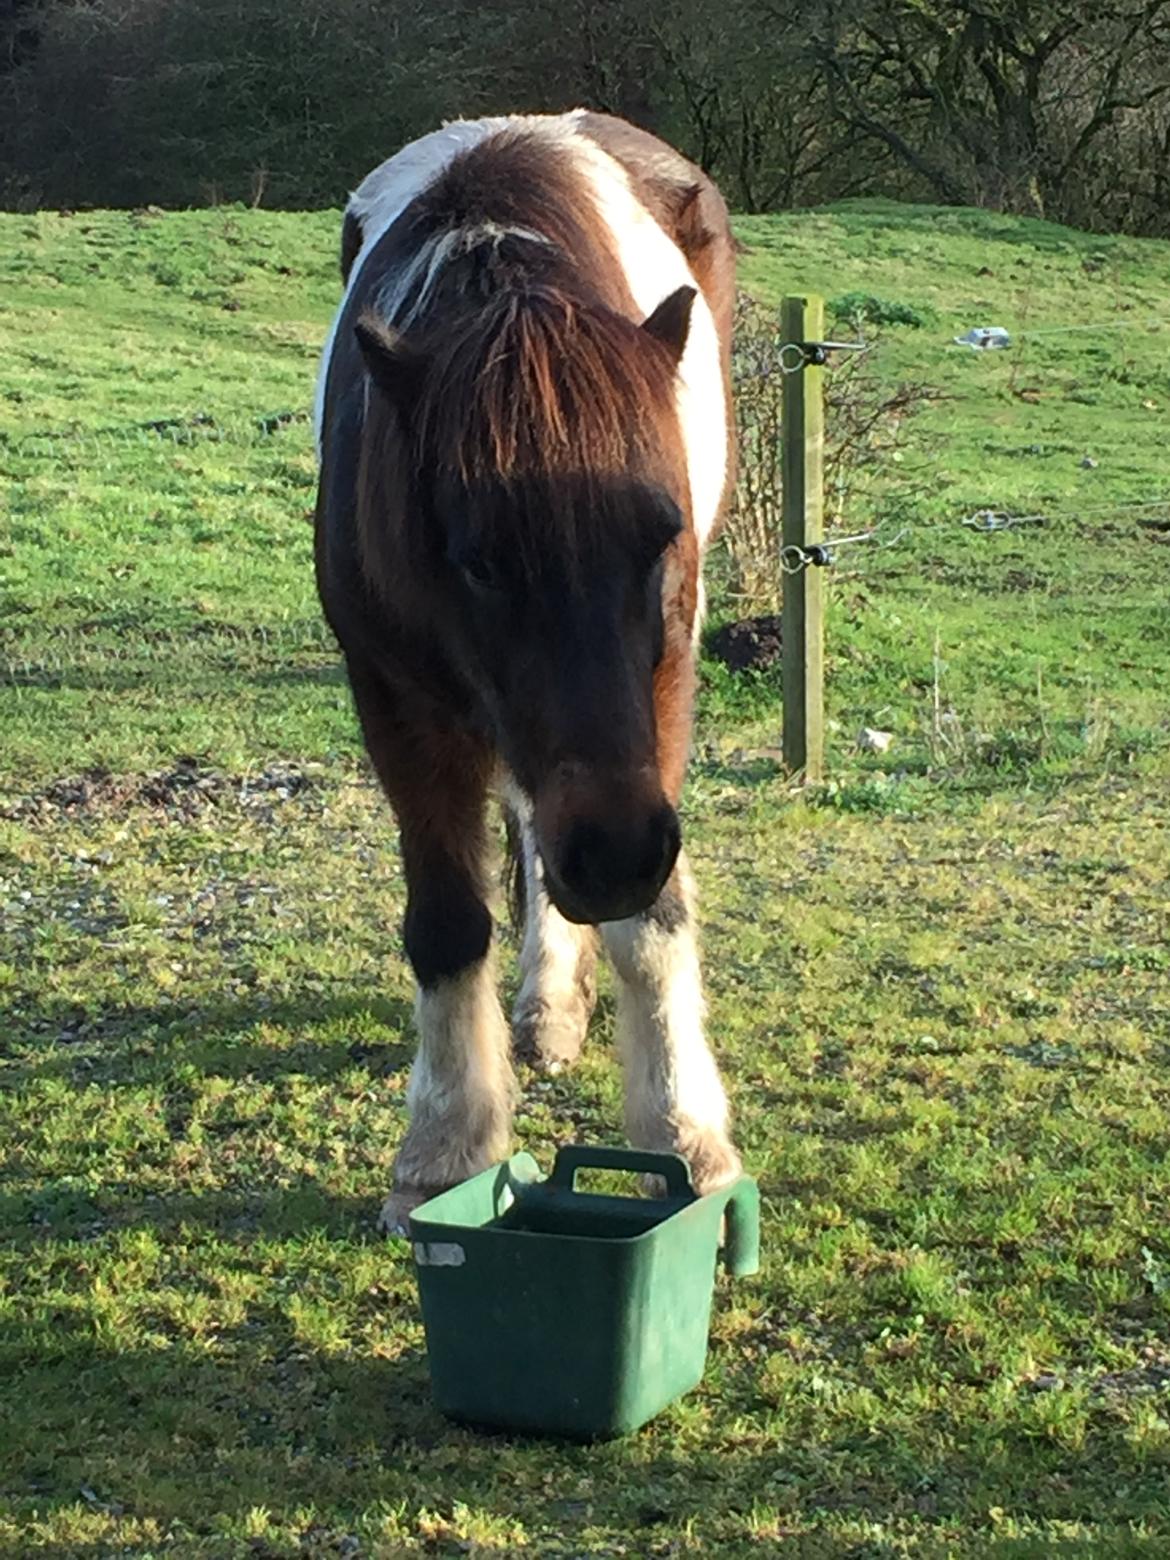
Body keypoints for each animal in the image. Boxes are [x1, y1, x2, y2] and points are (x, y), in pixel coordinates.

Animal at [313, 109, 742, 1229]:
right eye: (479, 561)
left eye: (659, 534)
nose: (616, 853)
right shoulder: (396, 700)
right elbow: (448, 922)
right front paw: (444, 1150)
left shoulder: (663, 681)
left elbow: (652, 920)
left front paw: (685, 1133)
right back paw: (546, 1003)